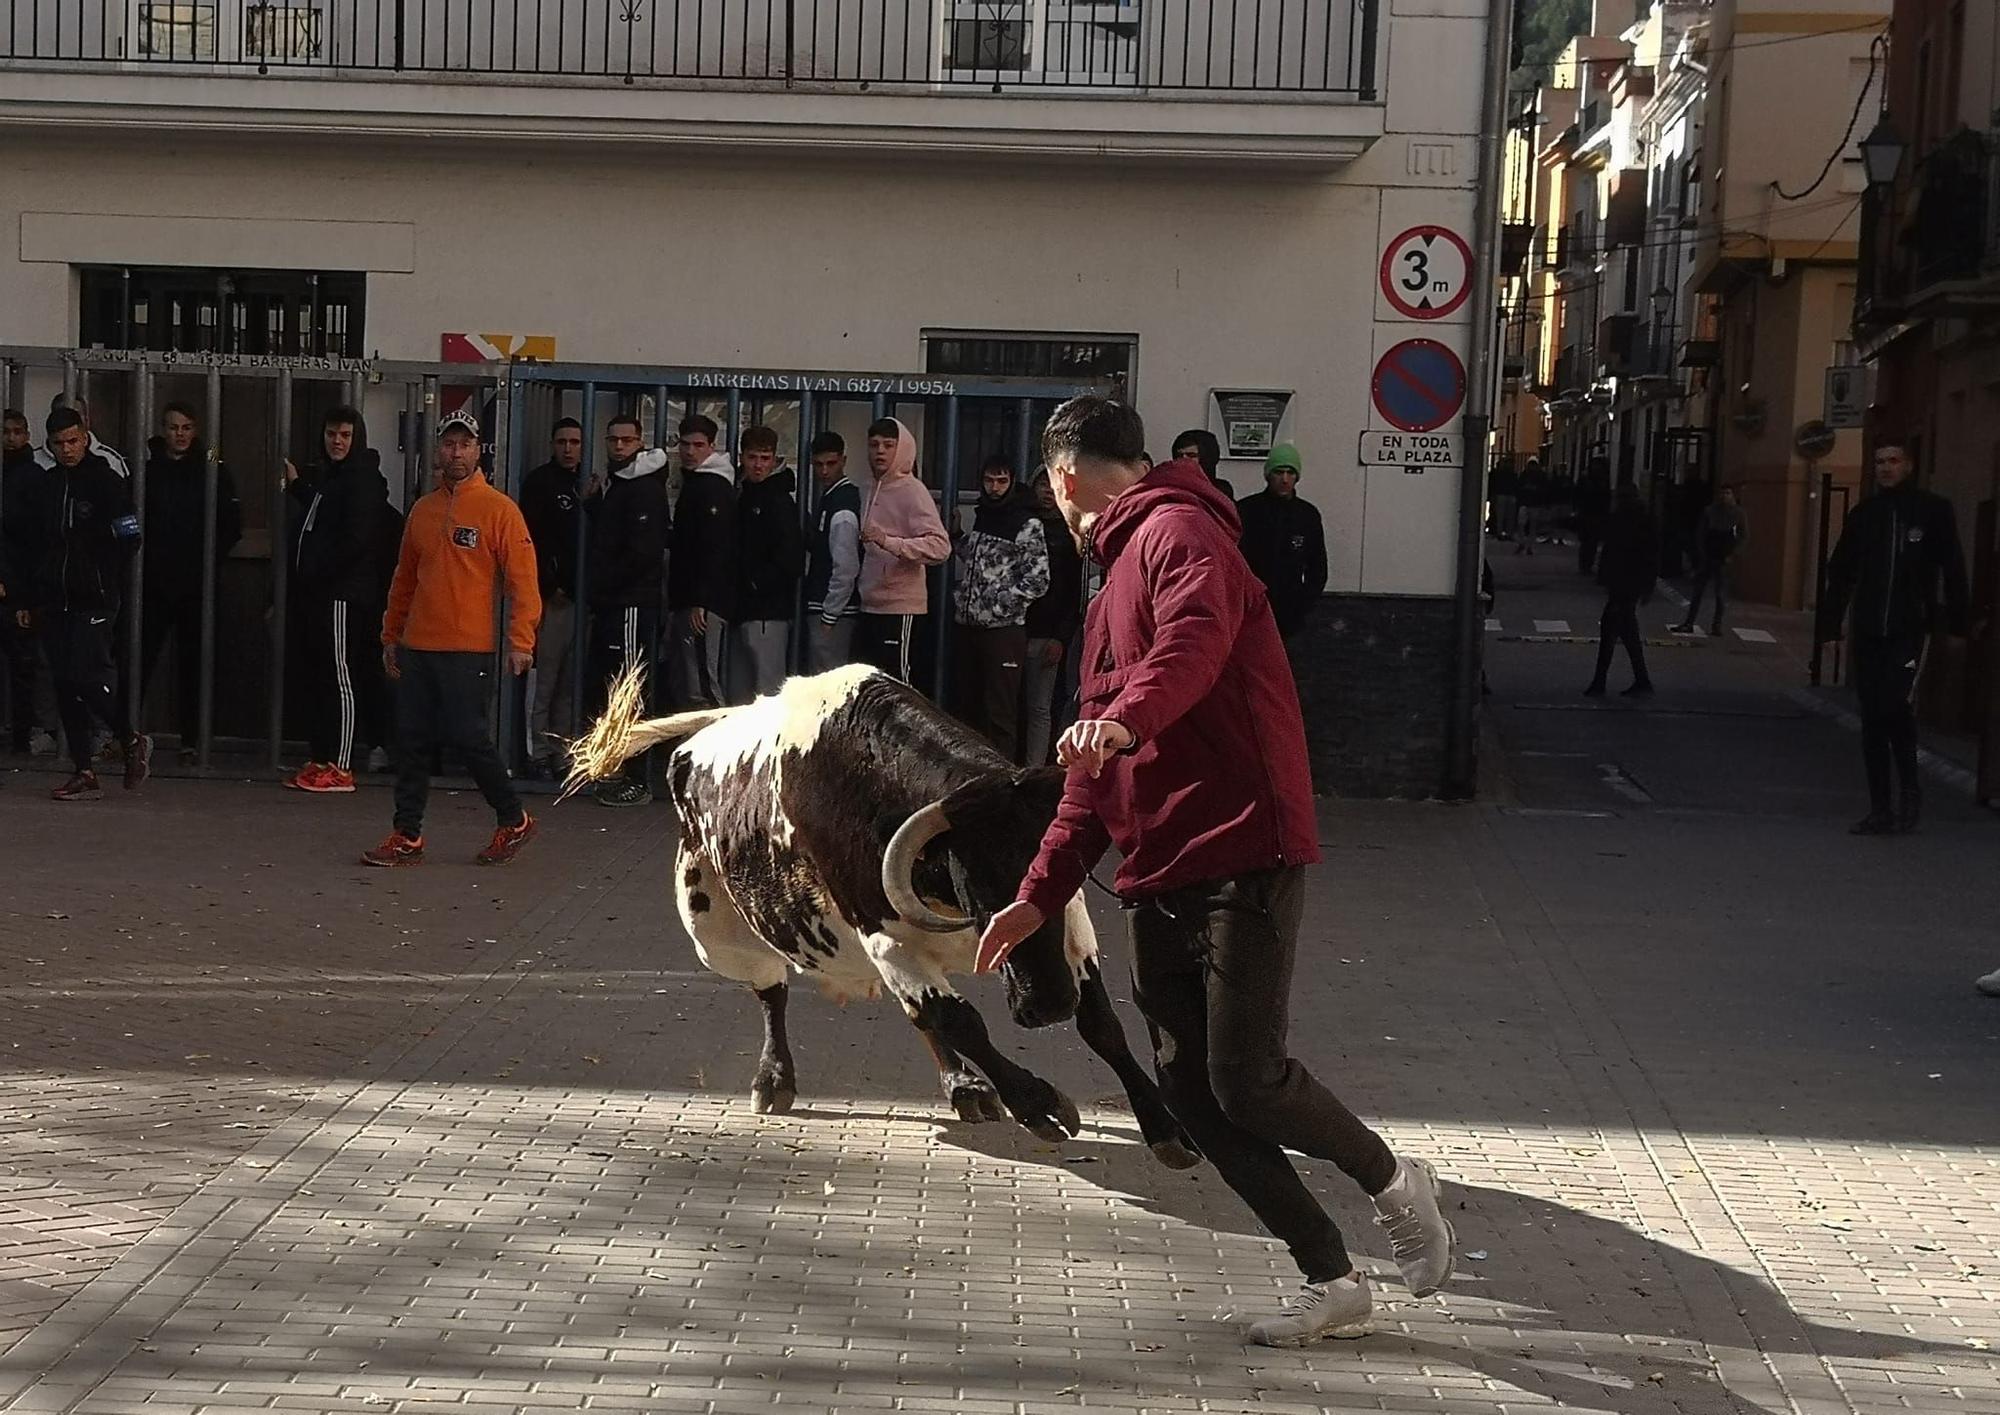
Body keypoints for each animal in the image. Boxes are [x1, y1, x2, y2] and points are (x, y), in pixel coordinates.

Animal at [572, 663, 1200, 1175]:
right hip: (717, 936)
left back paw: (965, 1087)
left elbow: (1101, 1023)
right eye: (976, 881)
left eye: (1056, 867)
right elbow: (962, 1019)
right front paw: (1039, 1105)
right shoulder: (884, 938)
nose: (1046, 1005)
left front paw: (1167, 1129)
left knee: (916, 1012)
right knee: (773, 990)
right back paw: (774, 1079)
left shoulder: (1070, 923)